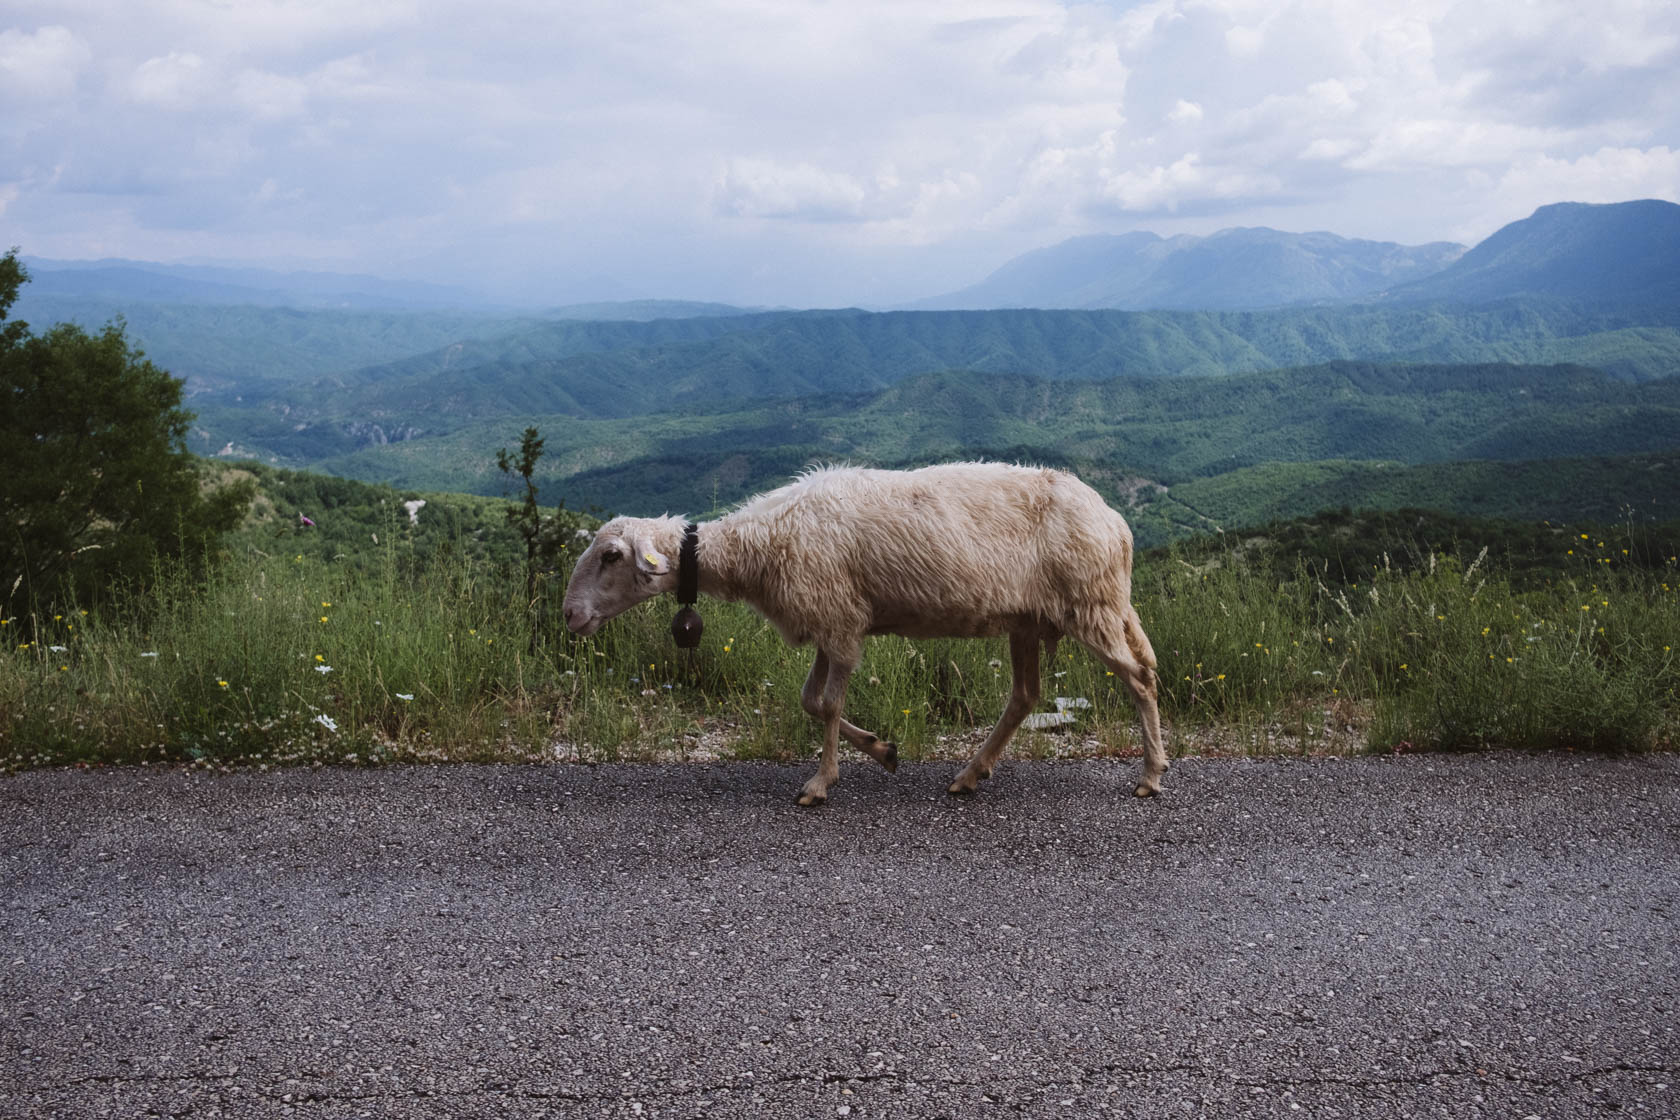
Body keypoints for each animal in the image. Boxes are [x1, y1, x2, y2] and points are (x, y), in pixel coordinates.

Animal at [564, 463, 1169, 805]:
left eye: (611, 556)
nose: (569, 616)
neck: (759, 546)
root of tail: (1117, 525)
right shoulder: (828, 620)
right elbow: (809, 700)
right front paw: (883, 750)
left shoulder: (841, 621)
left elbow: (828, 706)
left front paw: (820, 784)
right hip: (1032, 617)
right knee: (1025, 695)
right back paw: (970, 774)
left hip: (1091, 604)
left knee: (1140, 678)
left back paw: (1151, 775)